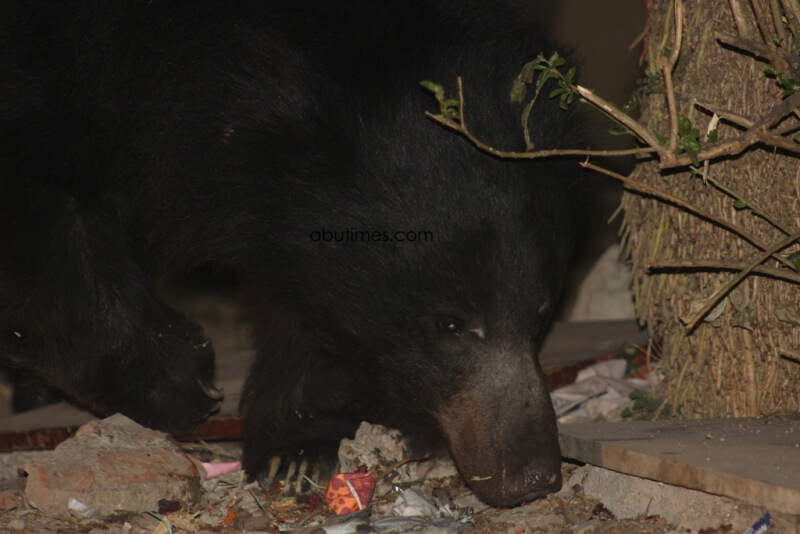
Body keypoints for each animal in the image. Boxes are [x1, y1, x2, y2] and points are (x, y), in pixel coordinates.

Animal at [0, 0, 588, 508]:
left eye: (541, 314)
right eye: (450, 325)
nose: (533, 475)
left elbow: (313, 311)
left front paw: (296, 449)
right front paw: (184, 381)